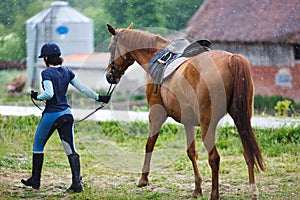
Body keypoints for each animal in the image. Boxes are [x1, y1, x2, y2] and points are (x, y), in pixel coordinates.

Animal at [105, 23, 264, 200]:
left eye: (111, 48)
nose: (109, 75)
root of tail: (231, 59)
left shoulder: (156, 114)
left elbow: (149, 144)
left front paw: (143, 178)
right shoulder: (188, 121)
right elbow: (191, 152)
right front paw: (197, 188)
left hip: (208, 124)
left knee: (214, 158)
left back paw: (214, 194)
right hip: (241, 119)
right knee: (248, 153)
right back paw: (253, 192)